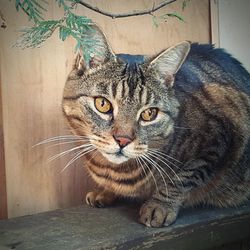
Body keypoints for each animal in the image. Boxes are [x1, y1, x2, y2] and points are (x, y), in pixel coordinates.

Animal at [62, 26, 250, 228]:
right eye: (103, 104)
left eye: (149, 113)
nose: (123, 140)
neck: (112, 171)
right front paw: (104, 191)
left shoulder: (217, 139)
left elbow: (184, 176)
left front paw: (160, 205)